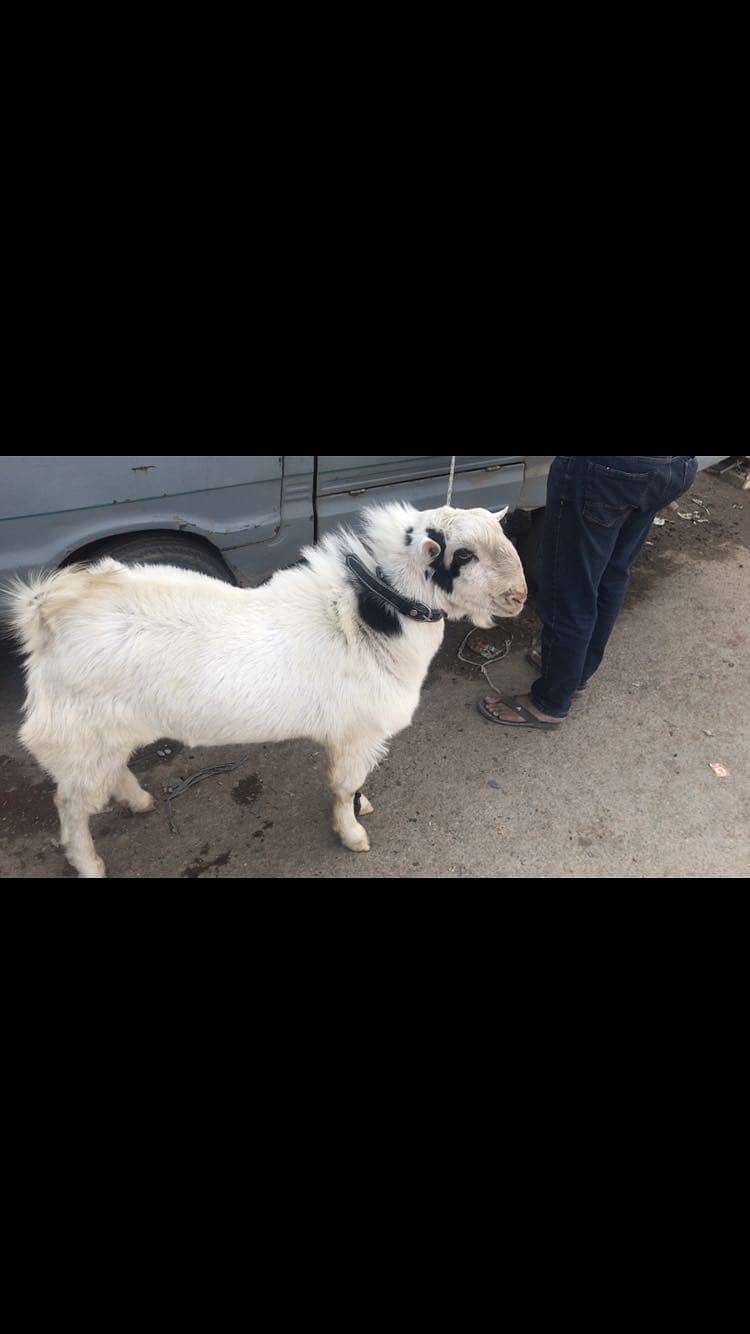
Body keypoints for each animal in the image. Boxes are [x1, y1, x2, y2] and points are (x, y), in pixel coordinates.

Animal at [2, 502, 527, 877]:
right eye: (463, 555)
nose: (519, 596)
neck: (368, 619)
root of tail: (45, 613)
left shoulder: (349, 736)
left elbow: (351, 783)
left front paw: (362, 807)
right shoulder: (357, 733)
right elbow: (344, 786)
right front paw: (352, 833)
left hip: (104, 733)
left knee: (107, 774)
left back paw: (139, 800)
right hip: (79, 736)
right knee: (71, 806)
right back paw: (90, 864)